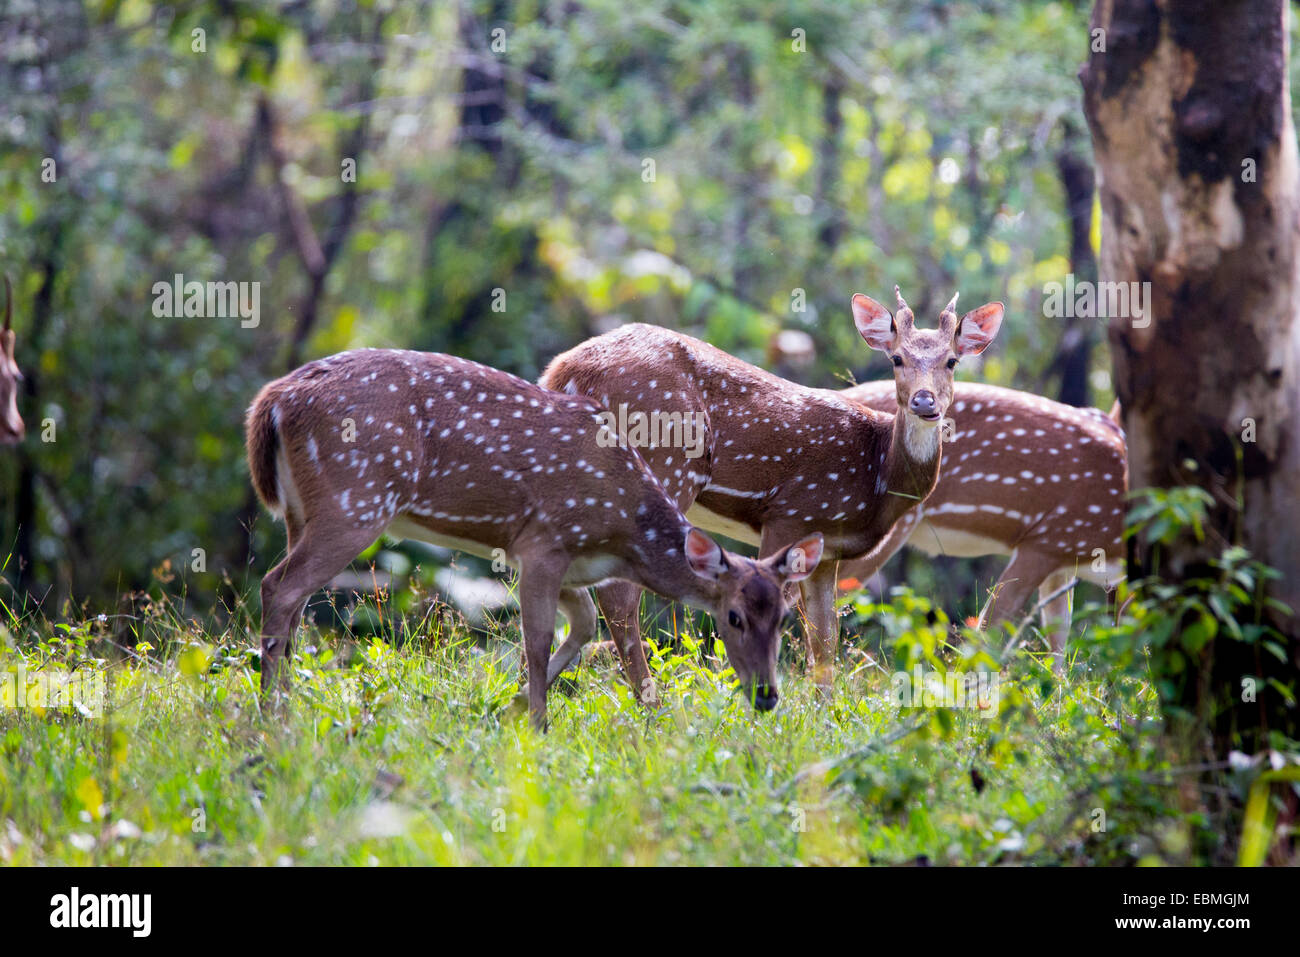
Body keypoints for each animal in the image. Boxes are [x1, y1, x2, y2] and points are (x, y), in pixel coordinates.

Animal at [244, 348, 826, 728]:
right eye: (734, 617)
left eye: (784, 617)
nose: (767, 696)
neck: (621, 530)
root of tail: (272, 402)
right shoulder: (544, 543)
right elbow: (538, 637)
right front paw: (537, 724)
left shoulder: (568, 568)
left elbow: (583, 626)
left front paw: (512, 705)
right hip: (356, 500)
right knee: (280, 586)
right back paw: (272, 714)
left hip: (303, 512)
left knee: (292, 599)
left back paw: (286, 702)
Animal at [538, 287, 1003, 691]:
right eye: (897, 358)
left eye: (951, 361)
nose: (924, 402)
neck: (877, 477)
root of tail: (561, 371)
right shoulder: (790, 514)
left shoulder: (828, 551)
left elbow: (825, 641)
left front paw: (823, 713)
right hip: (666, 466)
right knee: (619, 594)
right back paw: (650, 703)